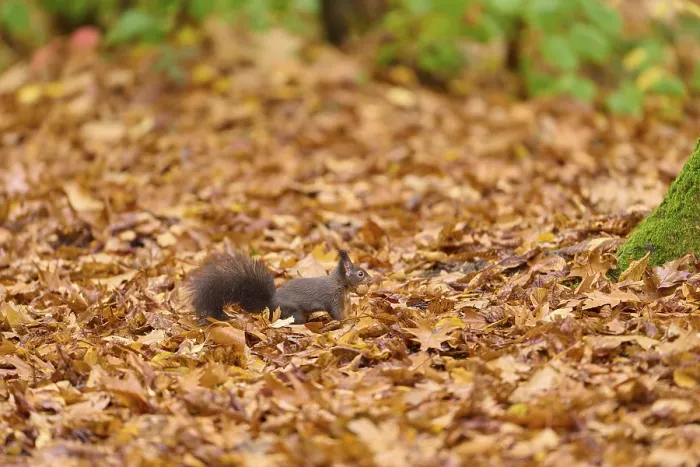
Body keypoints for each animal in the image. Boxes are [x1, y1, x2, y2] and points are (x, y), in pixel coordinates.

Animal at [184, 249, 371, 324]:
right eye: (360, 274)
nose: (371, 279)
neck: (338, 282)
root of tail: (271, 303)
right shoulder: (332, 297)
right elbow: (336, 312)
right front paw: (345, 320)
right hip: (292, 311)